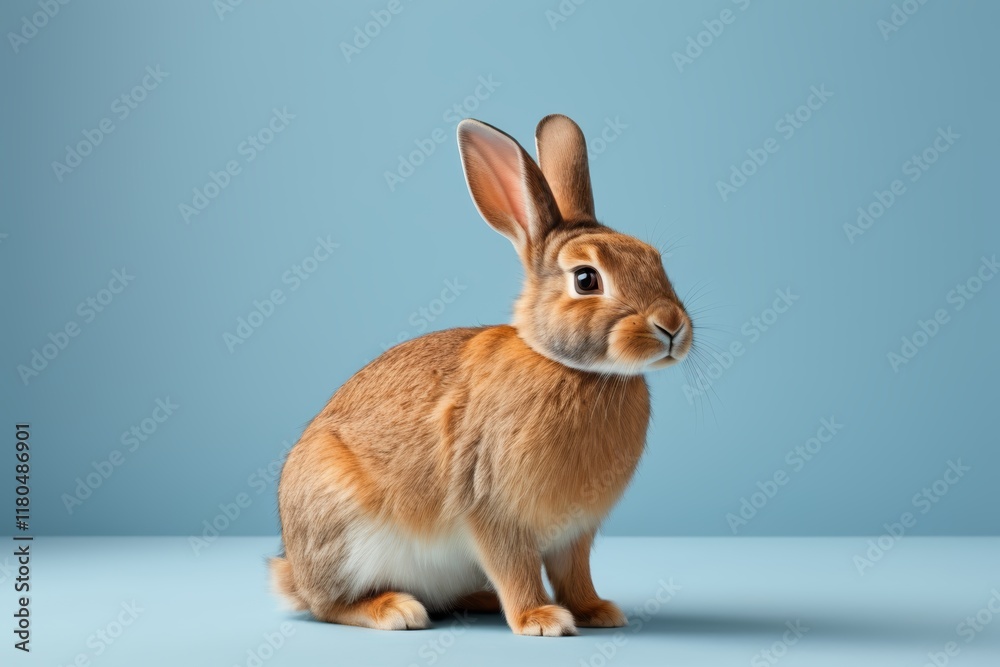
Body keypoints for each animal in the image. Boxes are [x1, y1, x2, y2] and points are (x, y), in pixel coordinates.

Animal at [271, 114, 692, 637]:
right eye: (586, 279)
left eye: (656, 259)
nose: (672, 326)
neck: (574, 369)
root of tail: (294, 571)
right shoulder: (493, 512)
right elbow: (515, 569)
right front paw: (540, 620)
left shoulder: (576, 535)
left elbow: (575, 574)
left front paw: (596, 611)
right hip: (342, 528)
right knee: (329, 605)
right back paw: (397, 610)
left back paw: (479, 600)